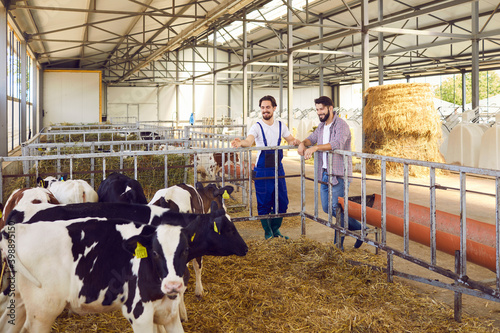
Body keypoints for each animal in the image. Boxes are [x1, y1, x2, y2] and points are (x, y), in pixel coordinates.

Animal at [0, 217, 194, 330]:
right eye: (154, 252)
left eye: (185, 250)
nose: (173, 285)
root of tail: (19, 228)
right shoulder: (139, 314)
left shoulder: (170, 315)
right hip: (42, 312)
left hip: (19, 301)